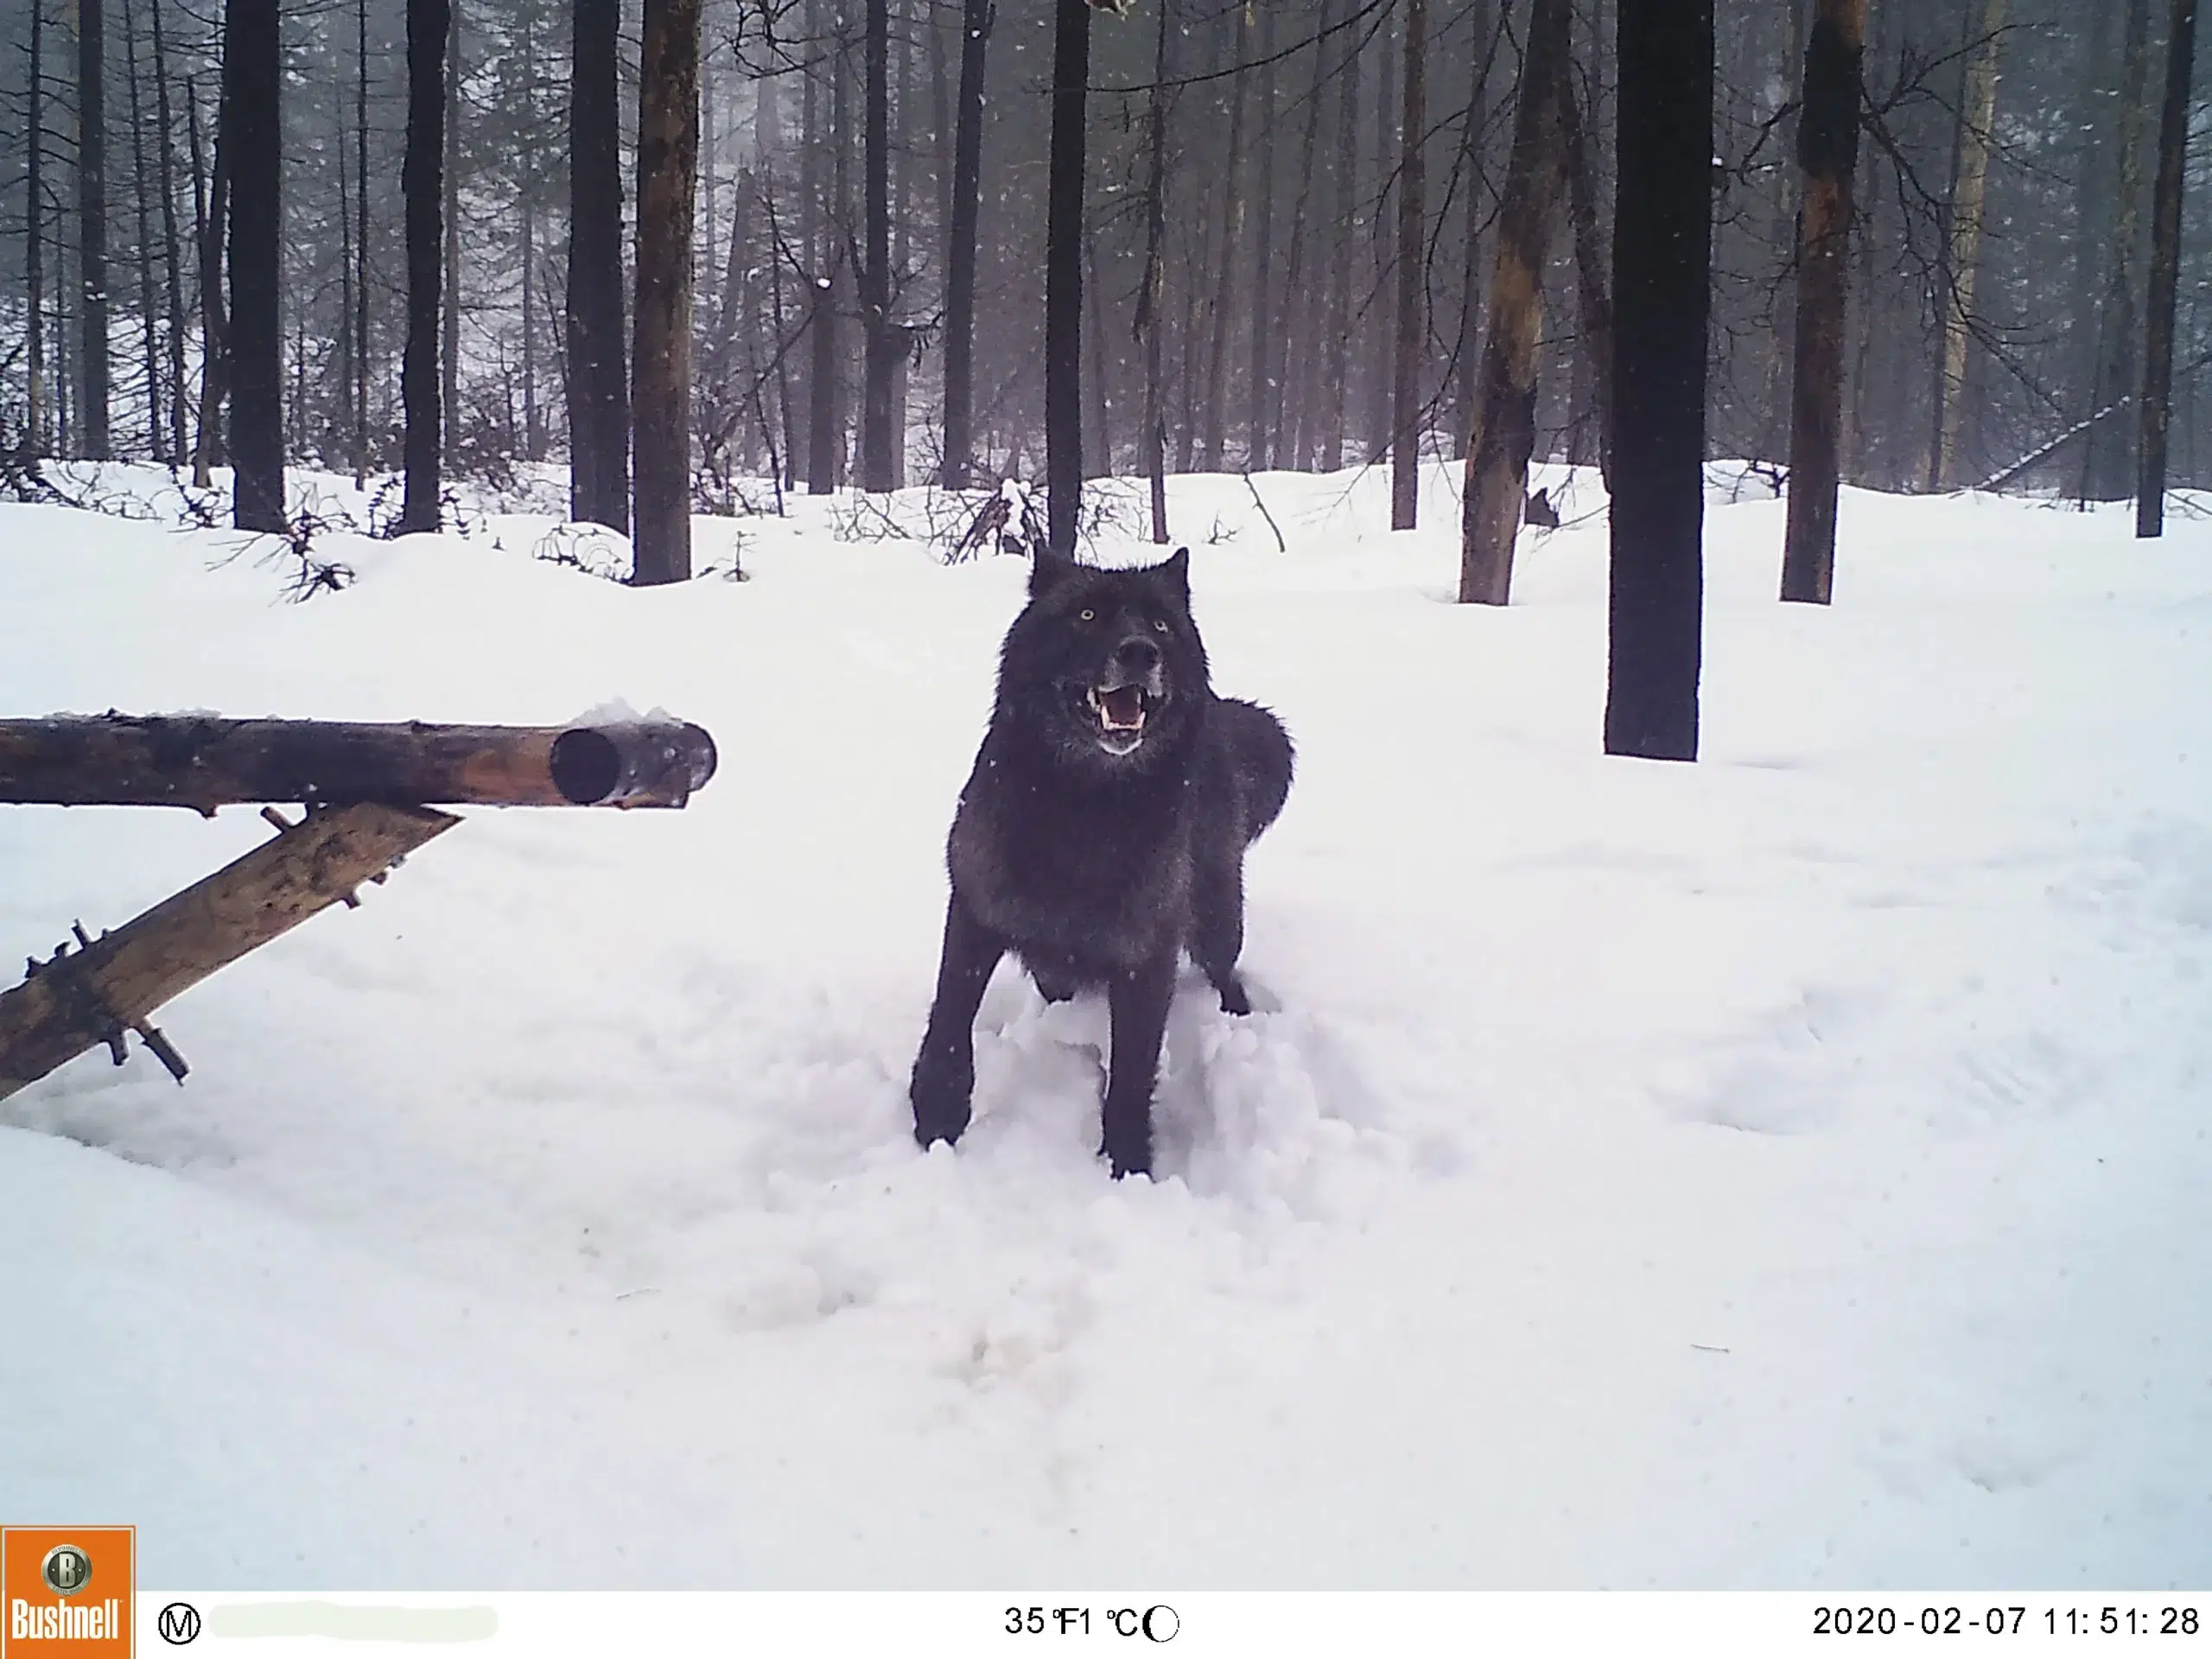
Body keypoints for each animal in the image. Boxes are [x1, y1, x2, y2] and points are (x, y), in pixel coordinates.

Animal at [909, 546, 1294, 1178]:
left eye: (1160, 623)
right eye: (1086, 615)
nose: (1140, 651)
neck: (1084, 806)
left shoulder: (1148, 954)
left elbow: (1135, 1067)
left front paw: (1129, 1161)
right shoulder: (975, 909)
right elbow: (950, 1016)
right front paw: (938, 1114)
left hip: (1217, 913)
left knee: (1225, 969)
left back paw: (1239, 1017)